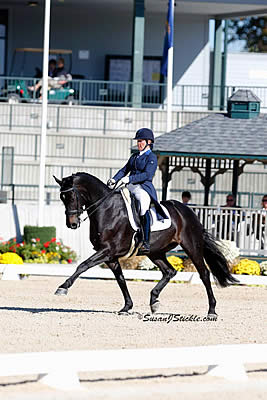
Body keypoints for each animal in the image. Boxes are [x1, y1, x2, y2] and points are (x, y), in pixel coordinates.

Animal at [53, 173, 238, 318]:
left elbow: (83, 265)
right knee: (169, 271)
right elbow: (120, 279)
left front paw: (63, 287)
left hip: (192, 247)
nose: (72, 224)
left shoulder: (108, 250)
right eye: (62, 198)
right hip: (156, 252)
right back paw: (154, 300)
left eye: (72, 196)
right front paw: (127, 307)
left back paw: (212, 310)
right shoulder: (110, 256)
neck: (107, 209)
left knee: (204, 274)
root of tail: (189, 211)